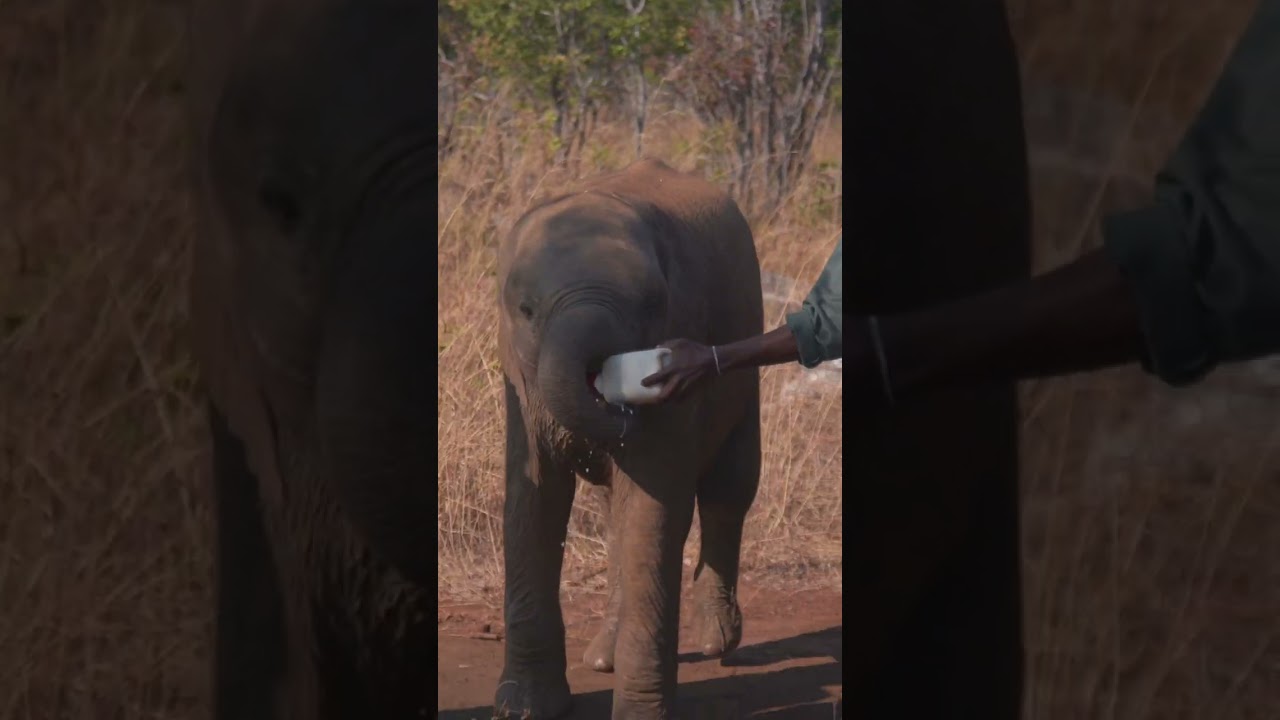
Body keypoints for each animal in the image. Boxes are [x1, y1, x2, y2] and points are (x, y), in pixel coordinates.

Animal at [494, 158, 765, 719]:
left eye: (652, 305)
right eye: (526, 311)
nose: (619, 393)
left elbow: (651, 505)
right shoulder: (519, 377)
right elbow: (534, 497)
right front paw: (523, 708)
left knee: (728, 490)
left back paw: (716, 641)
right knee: (616, 511)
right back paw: (604, 658)